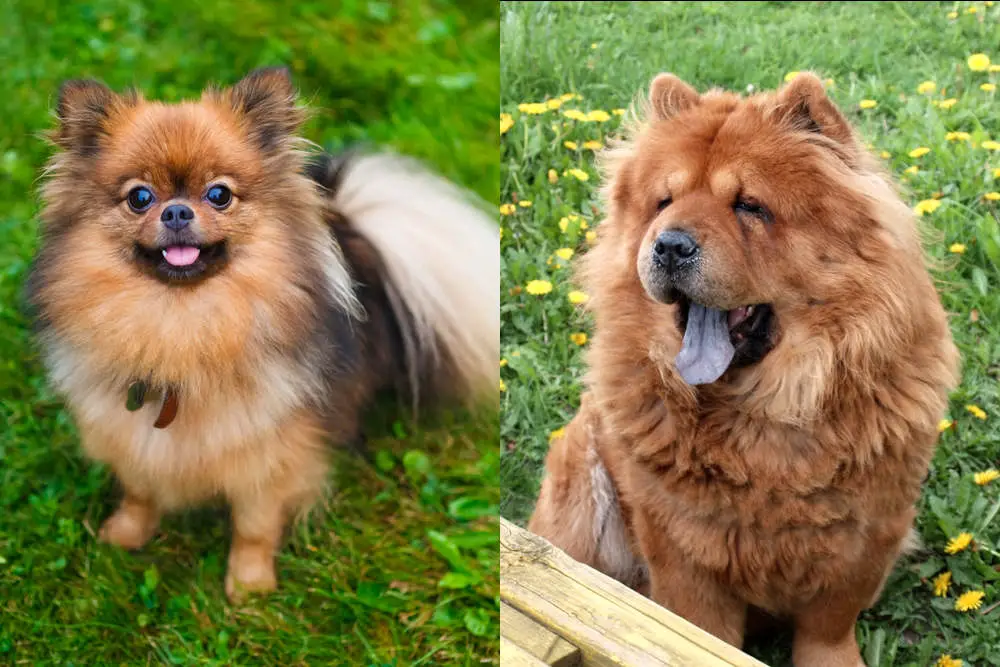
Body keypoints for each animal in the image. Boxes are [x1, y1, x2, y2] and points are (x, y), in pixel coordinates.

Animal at [29, 69, 498, 604]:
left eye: (219, 194)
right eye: (139, 198)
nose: (176, 212)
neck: (182, 327)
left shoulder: (269, 456)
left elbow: (254, 526)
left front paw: (250, 586)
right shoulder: (132, 436)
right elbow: (139, 492)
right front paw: (125, 535)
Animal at [532, 70, 960, 664]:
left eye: (749, 206)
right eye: (664, 202)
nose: (668, 244)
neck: (764, 411)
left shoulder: (868, 533)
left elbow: (829, 625)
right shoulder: (681, 547)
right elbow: (696, 629)